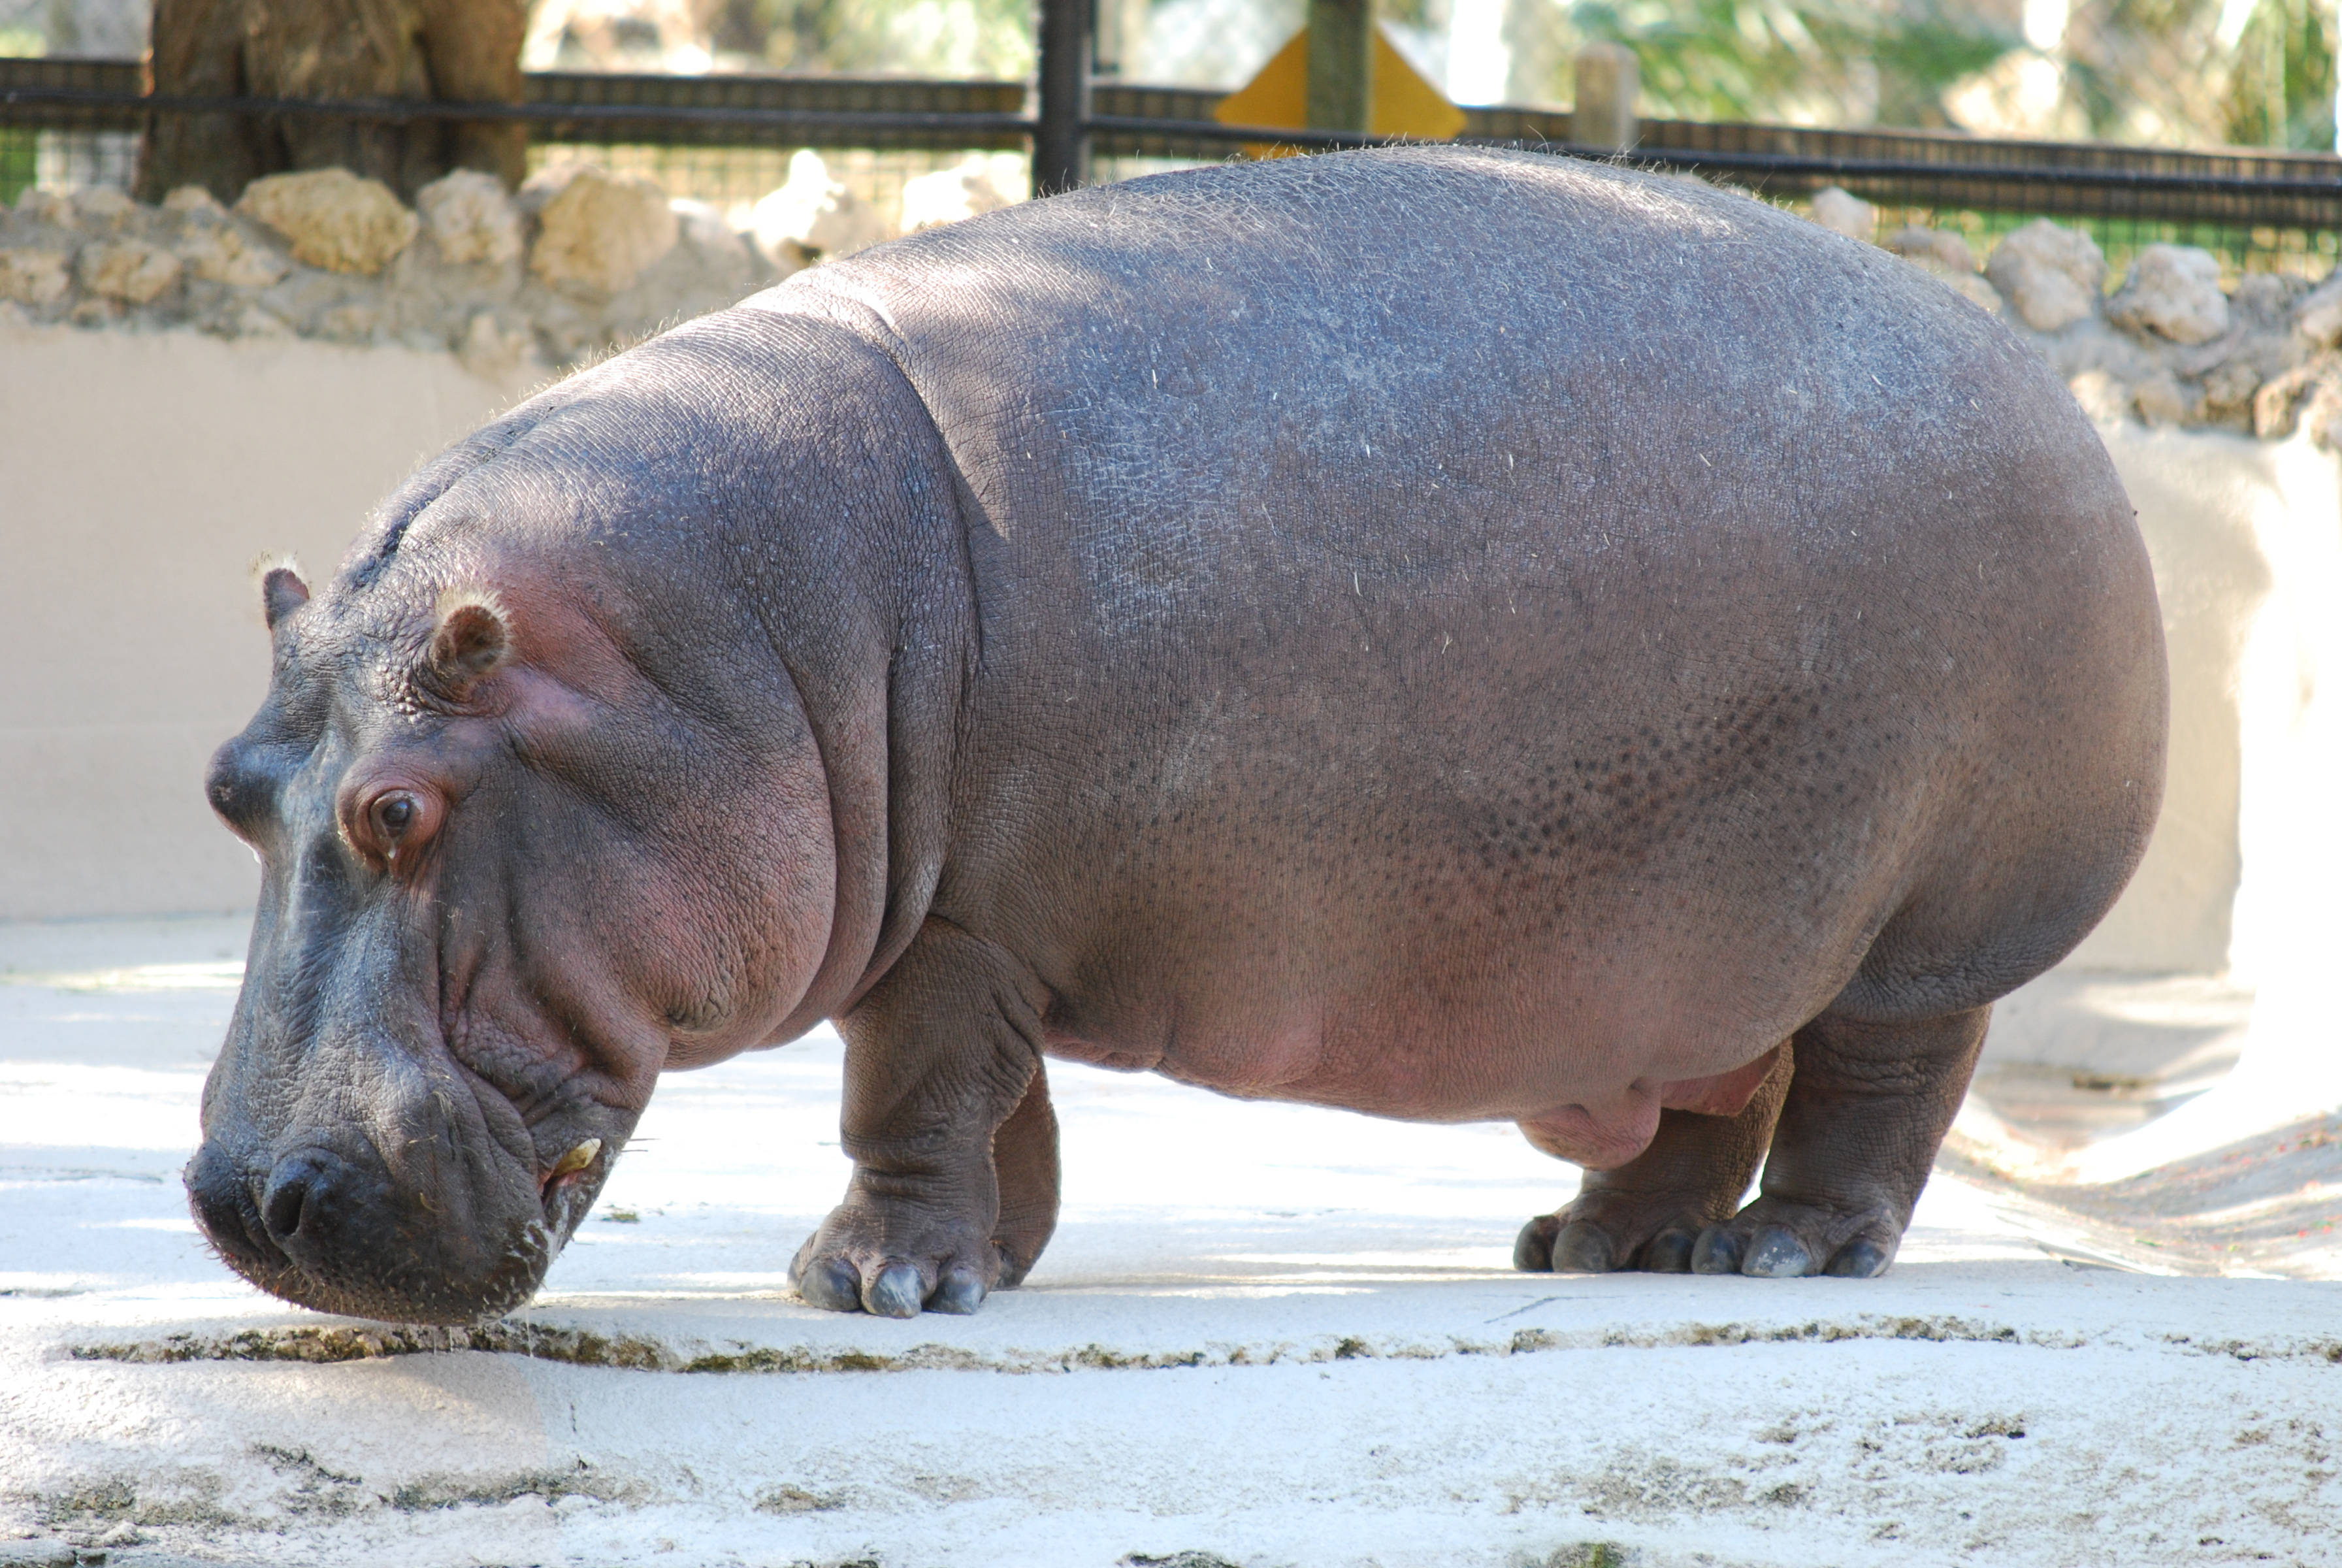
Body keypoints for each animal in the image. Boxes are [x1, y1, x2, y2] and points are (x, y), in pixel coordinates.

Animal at [188, 145, 2165, 1322]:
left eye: (398, 811)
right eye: (230, 791)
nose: (242, 1199)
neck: (710, 646)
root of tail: (2057, 401)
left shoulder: (961, 925)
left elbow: (911, 1093)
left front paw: (861, 1284)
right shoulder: (982, 921)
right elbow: (1001, 1115)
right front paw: (983, 1266)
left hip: (1922, 930)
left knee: (1874, 1093)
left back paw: (1779, 1253)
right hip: (1706, 937)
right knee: (1709, 1087)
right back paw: (1601, 1247)